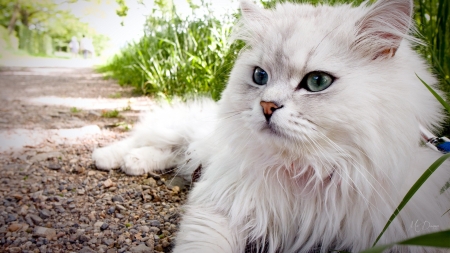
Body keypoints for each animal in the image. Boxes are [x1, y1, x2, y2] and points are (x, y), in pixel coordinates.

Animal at [92, 0, 450, 252]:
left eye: (317, 82)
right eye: (259, 76)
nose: (266, 106)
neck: (309, 171)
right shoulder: (220, 208)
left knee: (166, 154)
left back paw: (134, 164)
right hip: (180, 131)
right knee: (140, 140)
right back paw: (106, 158)